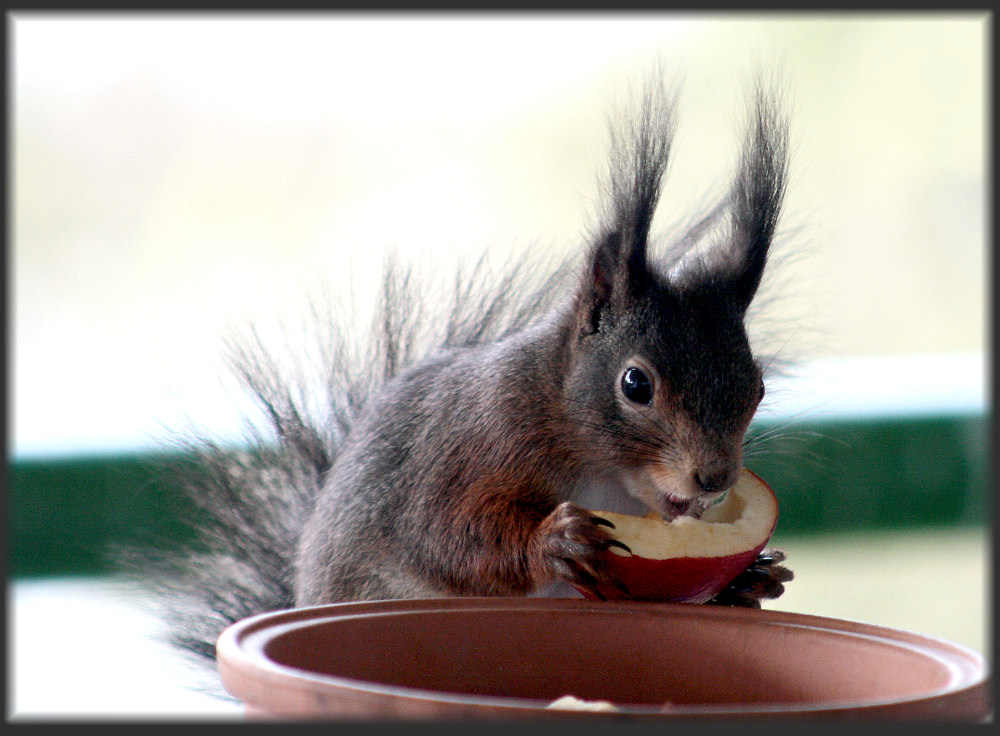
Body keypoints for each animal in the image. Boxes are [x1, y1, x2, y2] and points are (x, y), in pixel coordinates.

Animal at [143, 70, 796, 668]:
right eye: (636, 384)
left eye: (758, 387)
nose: (713, 478)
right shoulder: (475, 442)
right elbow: (444, 535)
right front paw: (554, 540)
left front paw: (749, 579)